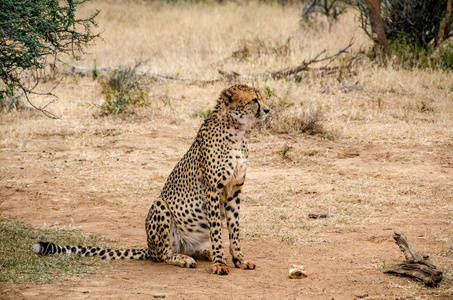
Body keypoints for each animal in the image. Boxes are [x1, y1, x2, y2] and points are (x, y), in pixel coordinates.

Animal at [35, 83, 270, 276]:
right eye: (254, 100)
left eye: (261, 98)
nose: (267, 110)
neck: (236, 131)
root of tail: (148, 247)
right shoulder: (213, 190)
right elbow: (217, 231)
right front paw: (220, 264)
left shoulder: (234, 190)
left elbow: (234, 229)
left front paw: (238, 259)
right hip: (160, 205)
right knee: (163, 255)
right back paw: (184, 258)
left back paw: (206, 252)